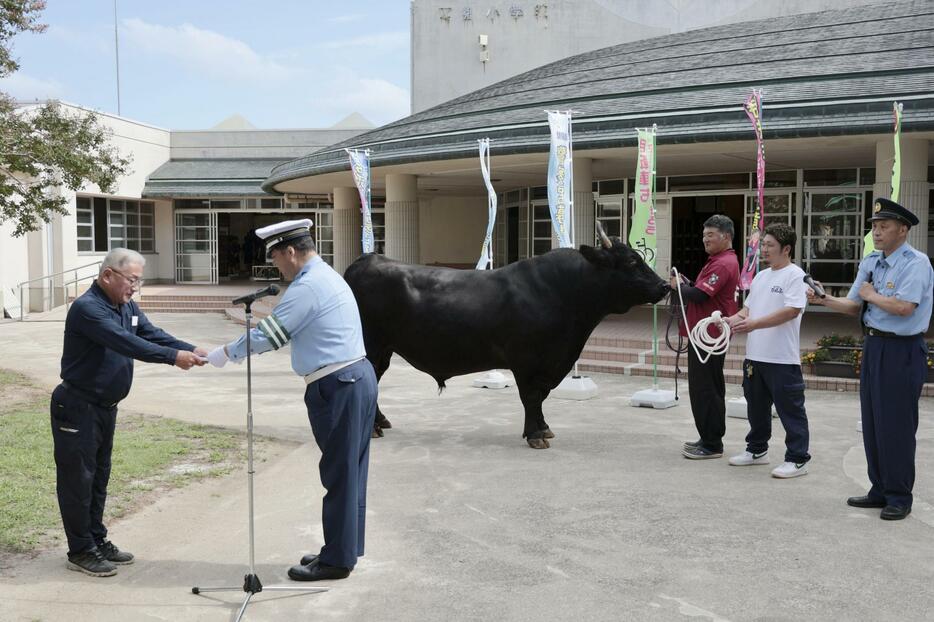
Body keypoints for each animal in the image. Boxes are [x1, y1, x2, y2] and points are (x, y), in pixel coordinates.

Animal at [346, 234, 672, 448]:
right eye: (631, 261)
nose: (665, 285)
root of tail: (369, 258)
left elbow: (540, 397)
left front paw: (544, 428)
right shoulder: (526, 359)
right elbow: (531, 396)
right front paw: (535, 435)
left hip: (385, 349)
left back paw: (380, 422)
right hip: (372, 346)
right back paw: (373, 428)